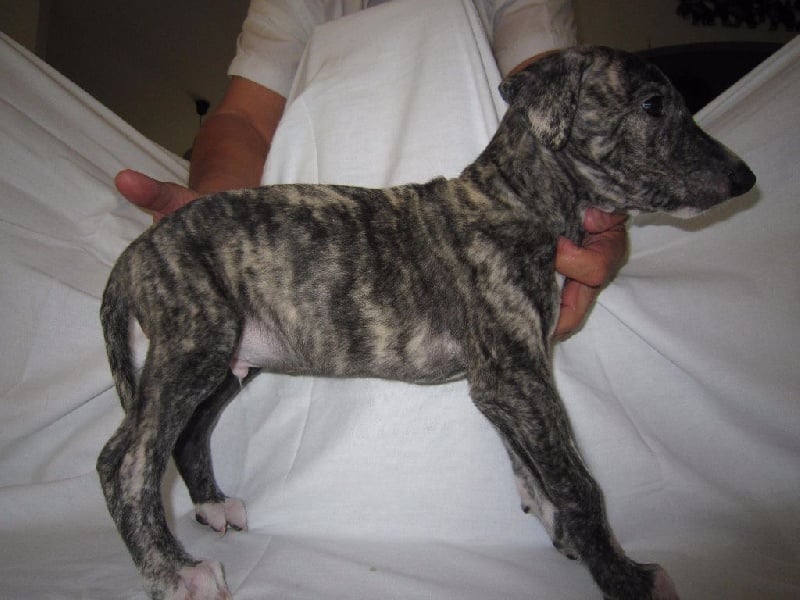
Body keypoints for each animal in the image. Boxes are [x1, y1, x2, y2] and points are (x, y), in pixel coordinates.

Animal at [98, 46, 755, 599]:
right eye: (652, 104)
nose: (746, 179)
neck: (516, 200)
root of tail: (134, 253)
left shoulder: (504, 381)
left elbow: (530, 464)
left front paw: (557, 527)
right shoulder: (515, 374)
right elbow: (576, 480)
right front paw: (626, 578)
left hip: (232, 359)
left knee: (186, 434)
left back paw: (209, 509)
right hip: (195, 342)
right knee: (125, 462)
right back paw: (176, 574)